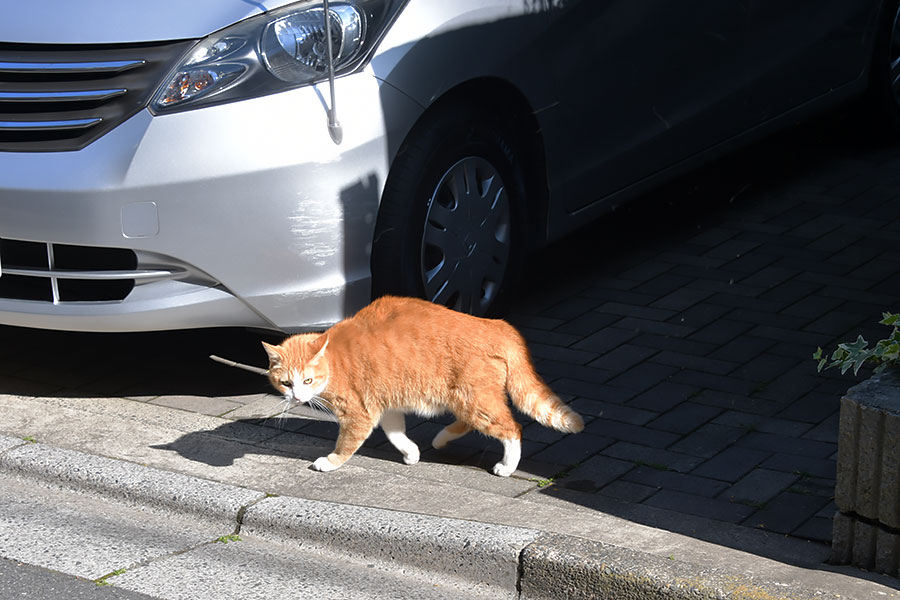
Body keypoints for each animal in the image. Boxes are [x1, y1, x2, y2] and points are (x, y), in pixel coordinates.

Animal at [262, 296, 584, 478]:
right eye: (286, 383)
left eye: (307, 380)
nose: (297, 397)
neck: (335, 360)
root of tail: (495, 324)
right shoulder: (384, 404)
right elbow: (396, 434)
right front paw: (411, 453)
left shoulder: (358, 413)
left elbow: (346, 445)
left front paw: (330, 463)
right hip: (466, 399)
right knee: (470, 422)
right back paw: (441, 439)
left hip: (474, 400)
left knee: (511, 429)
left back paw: (507, 466)